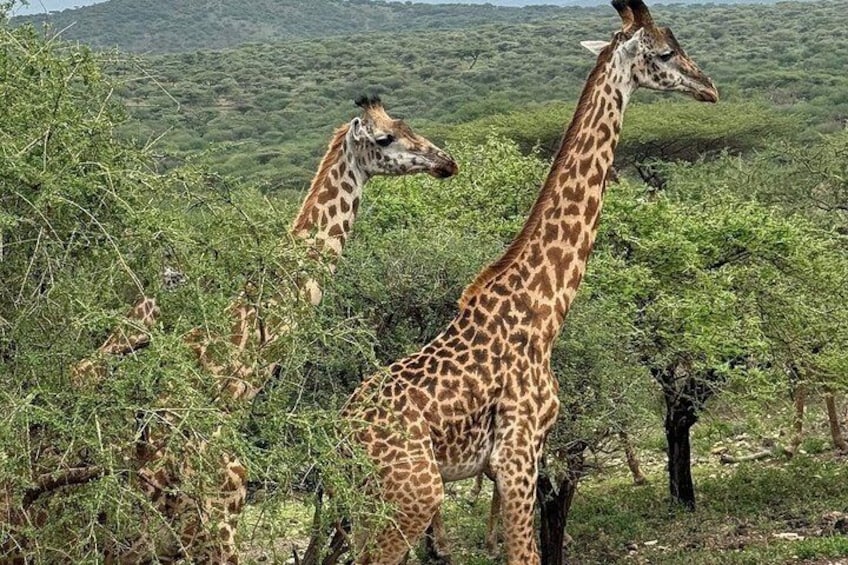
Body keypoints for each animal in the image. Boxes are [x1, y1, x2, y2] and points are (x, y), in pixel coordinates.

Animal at [341, 2, 717, 563]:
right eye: (667, 52)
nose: (709, 87)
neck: (543, 310)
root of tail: (339, 436)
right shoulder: (516, 456)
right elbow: (526, 553)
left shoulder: (524, 458)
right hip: (415, 494)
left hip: (371, 503)